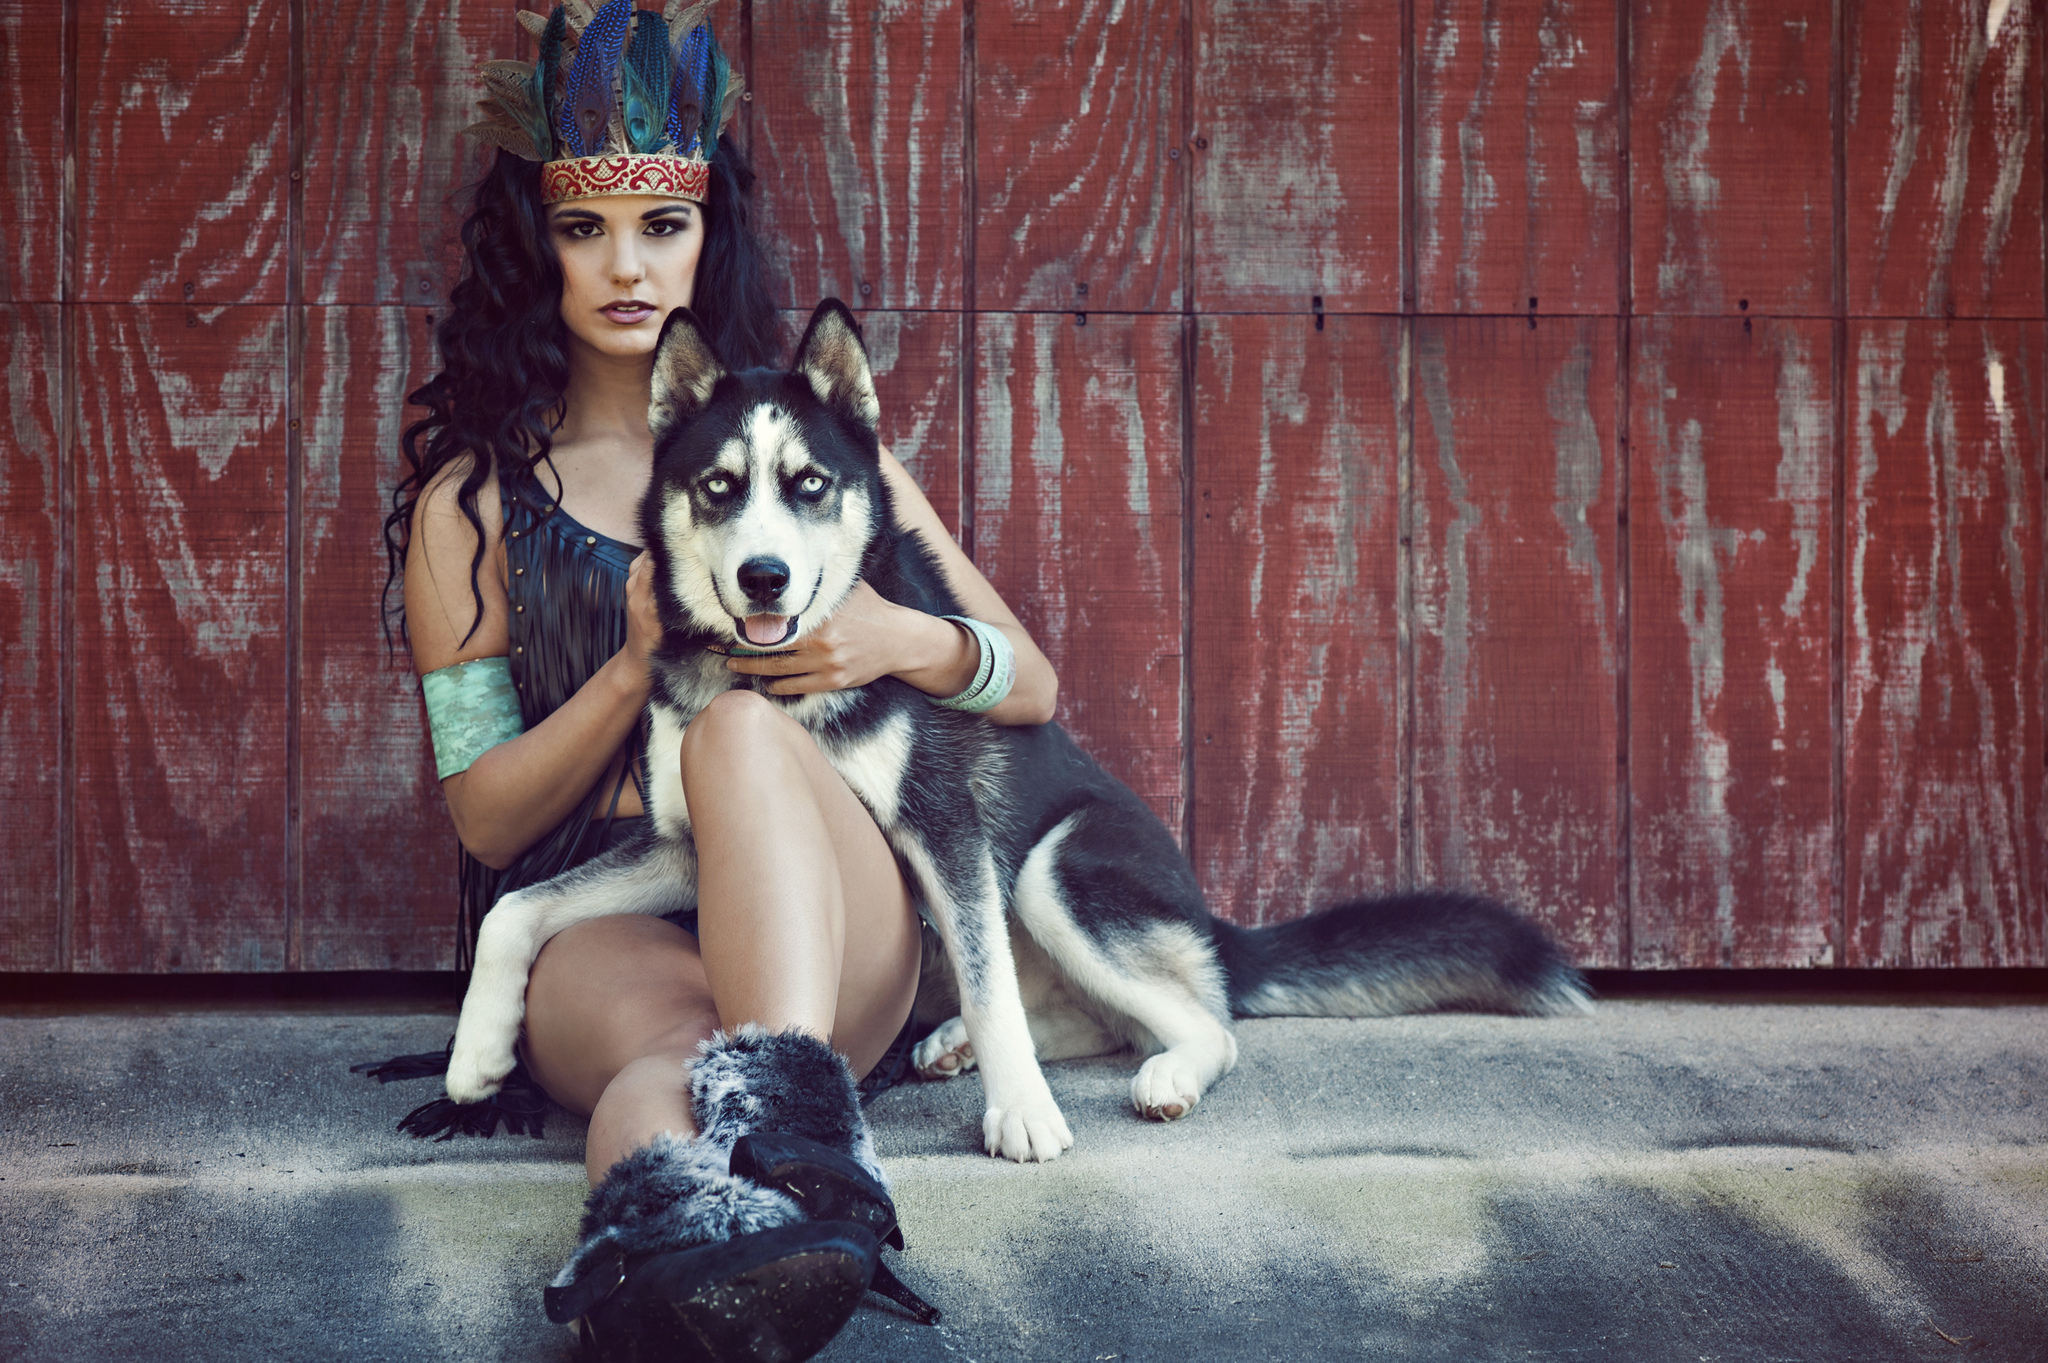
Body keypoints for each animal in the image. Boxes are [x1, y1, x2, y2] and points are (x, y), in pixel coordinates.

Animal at [448, 296, 1589, 1154]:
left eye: (808, 483)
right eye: (719, 486)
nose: (763, 575)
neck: (768, 690)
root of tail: (1209, 917)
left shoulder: (947, 829)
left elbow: (995, 983)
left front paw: (1022, 1115)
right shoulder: (683, 847)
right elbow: (514, 908)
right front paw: (476, 1054)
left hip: (1053, 869)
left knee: (1199, 1019)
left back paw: (1161, 1070)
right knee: (1087, 1013)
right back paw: (954, 1042)